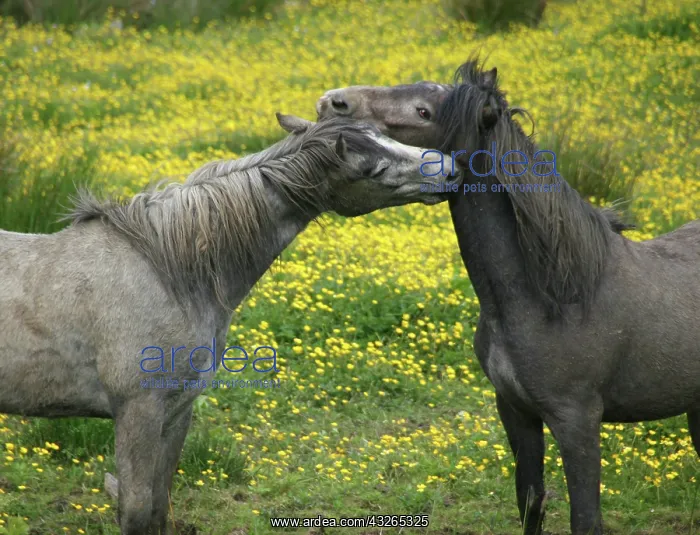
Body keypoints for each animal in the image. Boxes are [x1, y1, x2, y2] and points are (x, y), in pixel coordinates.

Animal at [0, 114, 457, 535]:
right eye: (372, 169)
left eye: (386, 134)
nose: (451, 169)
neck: (168, 272)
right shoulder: (137, 411)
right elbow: (136, 509)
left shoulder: (177, 412)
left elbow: (159, 505)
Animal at [314, 60, 700, 535]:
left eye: (424, 111)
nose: (333, 102)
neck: (551, 297)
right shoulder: (516, 412)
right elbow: (530, 503)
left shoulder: (577, 422)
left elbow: (585, 518)